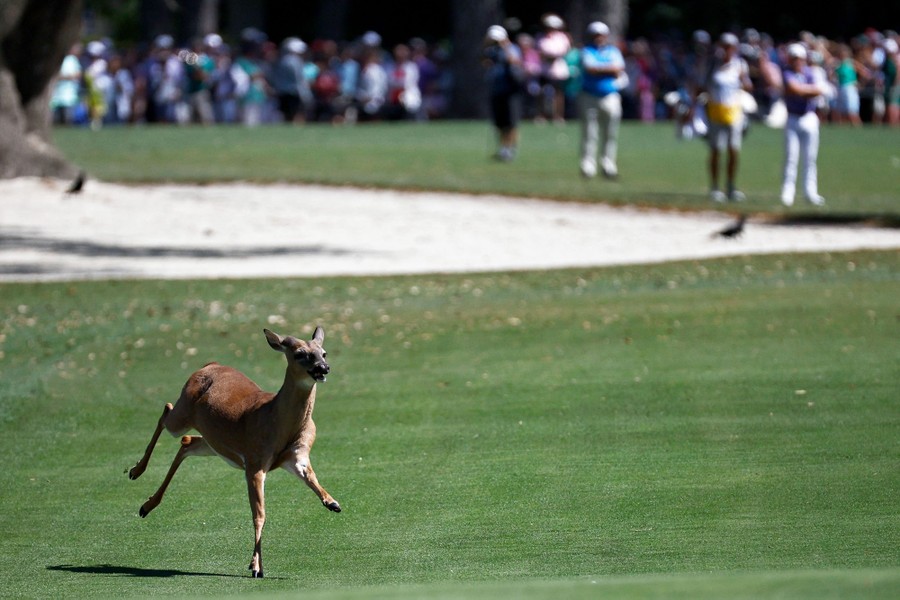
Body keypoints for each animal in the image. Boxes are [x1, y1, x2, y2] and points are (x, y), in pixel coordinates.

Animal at [127, 327, 341, 578]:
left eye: (323, 353)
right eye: (299, 354)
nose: (323, 368)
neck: (276, 420)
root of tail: (209, 365)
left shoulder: (297, 456)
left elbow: (313, 480)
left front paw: (332, 502)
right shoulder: (255, 462)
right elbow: (259, 514)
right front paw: (256, 566)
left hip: (214, 444)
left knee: (187, 442)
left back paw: (146, 505)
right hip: (183, 415)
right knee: (166, 412)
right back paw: (136, 472)